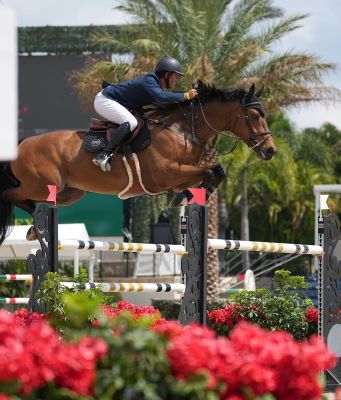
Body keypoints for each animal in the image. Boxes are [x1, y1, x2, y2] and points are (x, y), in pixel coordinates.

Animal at [0, 81, 276, 245]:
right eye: (254, 115)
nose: (270, 150)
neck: (182, 130)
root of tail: (21, 144)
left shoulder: (180, 176)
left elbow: (212, 173)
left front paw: (186, 198)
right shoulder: (167, 174)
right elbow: (215, 170)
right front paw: (187, 198)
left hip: (70, 192)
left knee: (37, 201)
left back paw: (34, 228)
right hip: (42, 184)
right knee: (10, 194)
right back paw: (35, 227)